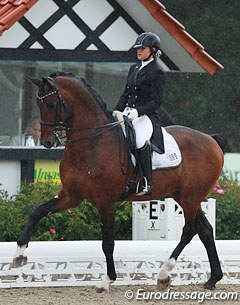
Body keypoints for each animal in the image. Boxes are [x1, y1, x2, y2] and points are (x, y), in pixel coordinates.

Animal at [12, 71, 224, 290]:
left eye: (52, 103)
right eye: (38, 103)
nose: (47, 142)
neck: (91, 141)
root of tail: (211, 140)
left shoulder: (105, 201)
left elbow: (108, 243)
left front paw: (108, 279)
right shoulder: (71, 196)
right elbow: (37, 212)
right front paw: (18, 255)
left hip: (191, 197)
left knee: (189, 230)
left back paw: (164, 273)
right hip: (184, 196)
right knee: (205, 230)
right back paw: (212, 279)